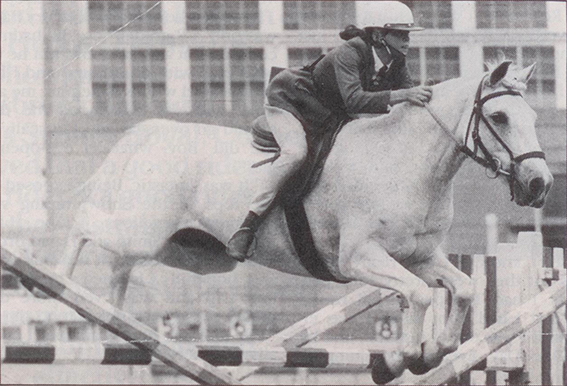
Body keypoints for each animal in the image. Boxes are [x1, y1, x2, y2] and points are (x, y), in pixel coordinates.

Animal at [28, 58, 552, 382]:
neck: (405, 161)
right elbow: (421, 295)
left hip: (188, 252)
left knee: (120, 264)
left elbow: (460, 288)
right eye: (500, 117)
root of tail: (161, 132)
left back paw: (107, 314)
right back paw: (50, 283)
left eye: (532, 117)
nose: (539, 185)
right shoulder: (361, 258)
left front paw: (431, 353)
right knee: (87, 221)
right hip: (145, 229)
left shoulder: (419, 256)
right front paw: (399, 359)